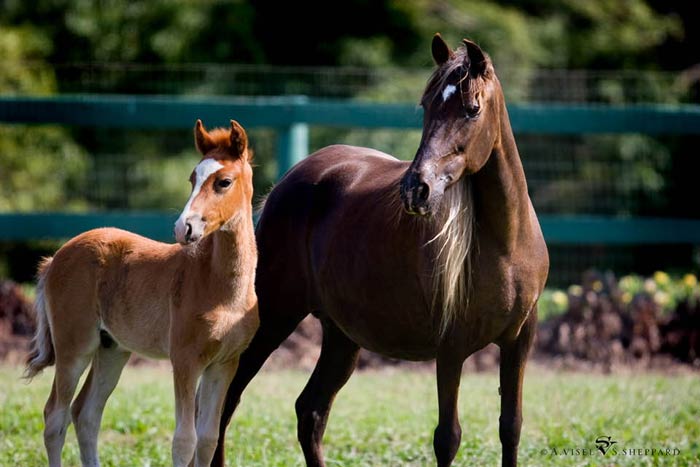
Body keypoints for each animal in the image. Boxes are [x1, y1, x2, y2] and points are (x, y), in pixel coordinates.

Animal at [25, 120, 260, 467]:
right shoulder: (185, 360)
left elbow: (207, 439)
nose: (183, 228)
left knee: (86, 413)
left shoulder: (225, 363)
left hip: (112, 349)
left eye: (224, 182)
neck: (221, 287)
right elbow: (184, 440)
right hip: (74, 346)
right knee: (55, 416)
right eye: (192, 178)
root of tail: (55, 258)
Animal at [212, 33, 548, 467]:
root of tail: (291, 180)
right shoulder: (451, 348)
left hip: (340, 337)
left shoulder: (518, 343)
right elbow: (448, 437)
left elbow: (511, 427)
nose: (416, 189)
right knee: (228, 399)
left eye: (472, 109)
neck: (506, 246)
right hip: (274, 317)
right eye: (427, 105)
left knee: (310, 411)